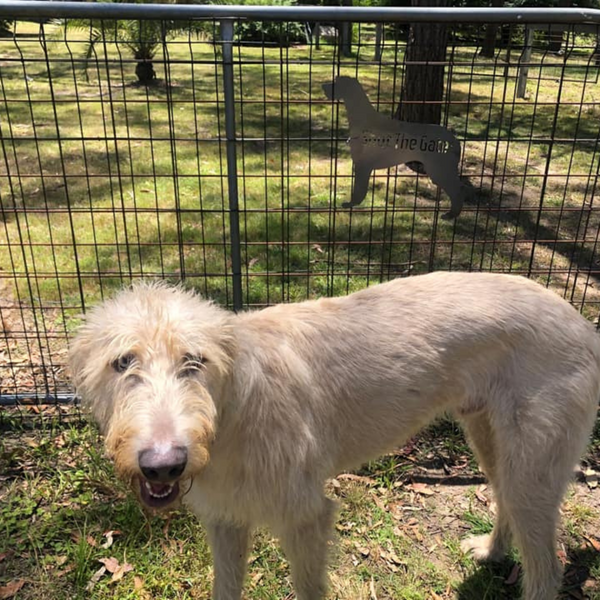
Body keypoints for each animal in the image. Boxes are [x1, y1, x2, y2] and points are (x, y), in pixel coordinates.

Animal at [69, 274, 600, 600]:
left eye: (194, 362)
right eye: (122, 362)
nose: (163, 464)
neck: (232, 411)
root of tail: (582, 322)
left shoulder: (306, 518)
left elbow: (308, 585)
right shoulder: (225, 520)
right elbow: (226, 585)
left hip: (533, 466)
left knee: (546, 568)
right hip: (491, 440)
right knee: (505, 498)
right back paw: (493, 552)